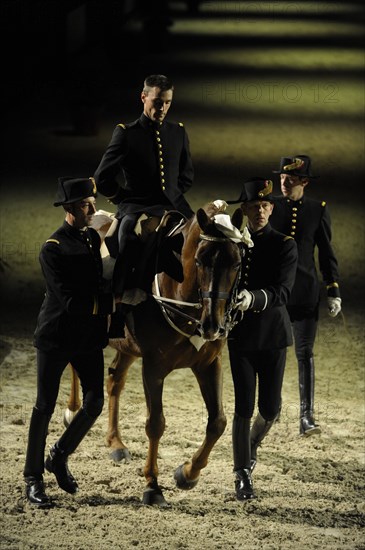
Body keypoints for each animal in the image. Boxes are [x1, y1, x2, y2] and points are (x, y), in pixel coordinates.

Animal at [65, 203, 245, 508]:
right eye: (200, 260)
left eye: (236, 263)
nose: (213, 325)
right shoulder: (153, 367)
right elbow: (156, 424)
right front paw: (152, 485)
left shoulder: (208, 364)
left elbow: (218, 422)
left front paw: (188, 473)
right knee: (74, 362)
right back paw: (72, 409)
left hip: (126, 347)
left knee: (114, 380)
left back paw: (116, 443)